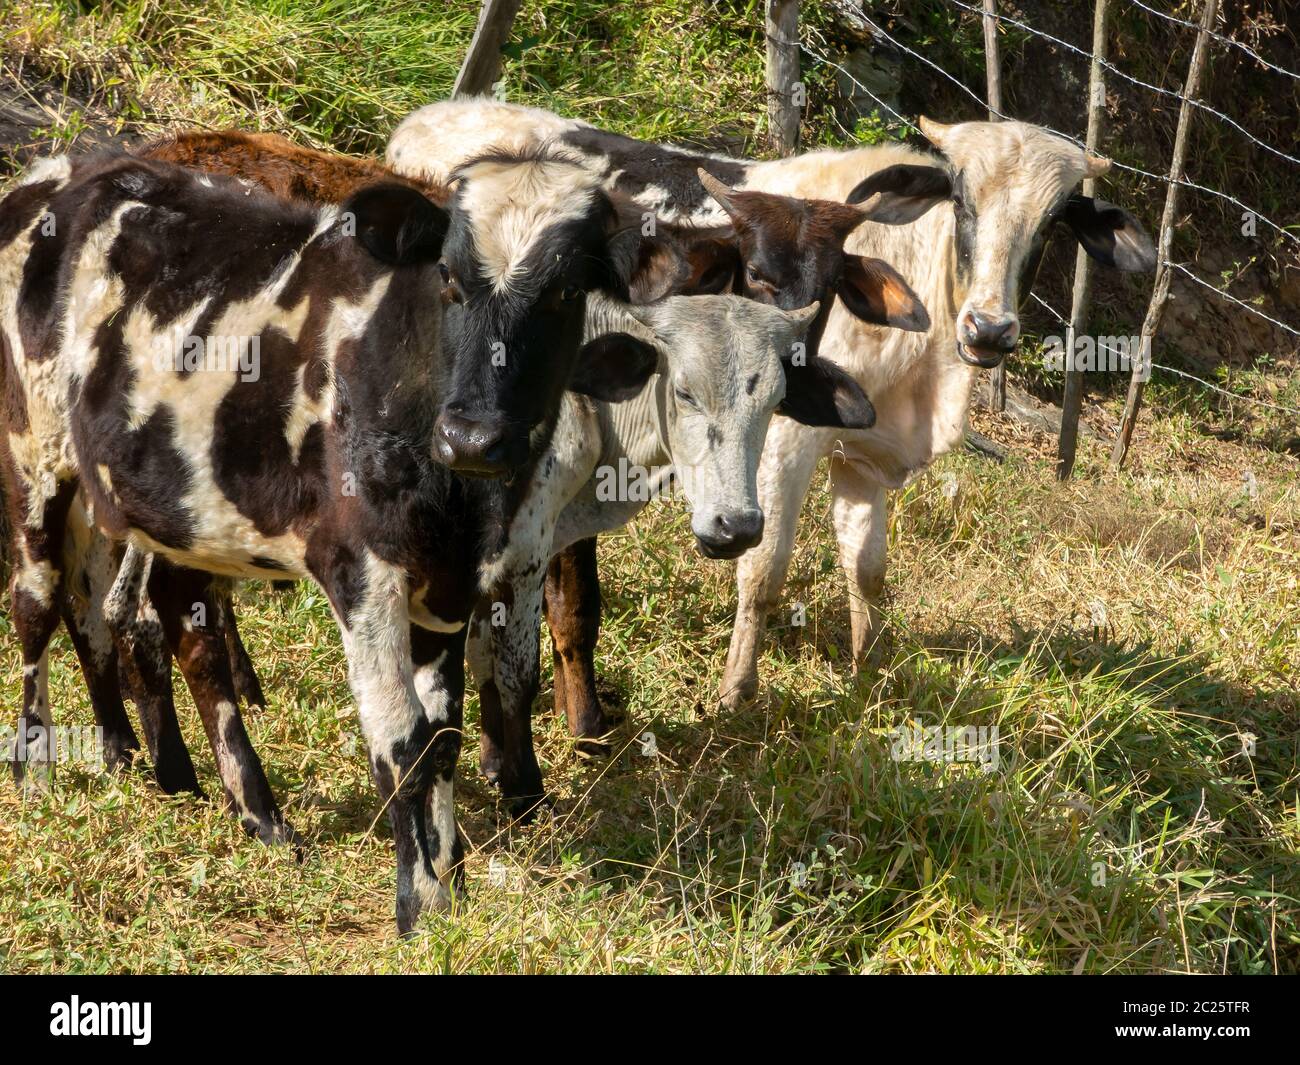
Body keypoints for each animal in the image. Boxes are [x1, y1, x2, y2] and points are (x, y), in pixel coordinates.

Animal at [2, 150, 681, 931]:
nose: (474, 437)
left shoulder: (448, 583)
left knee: (176, 626)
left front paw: (450, 878)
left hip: (185, 515)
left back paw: (241, 806)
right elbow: (401, 740)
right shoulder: (362, 573)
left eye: (566, 291)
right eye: (448, 277)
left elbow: (441, 738)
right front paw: (418, 901)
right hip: (36, 458)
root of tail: (61, 171)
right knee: (38, 604)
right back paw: (35, 765)